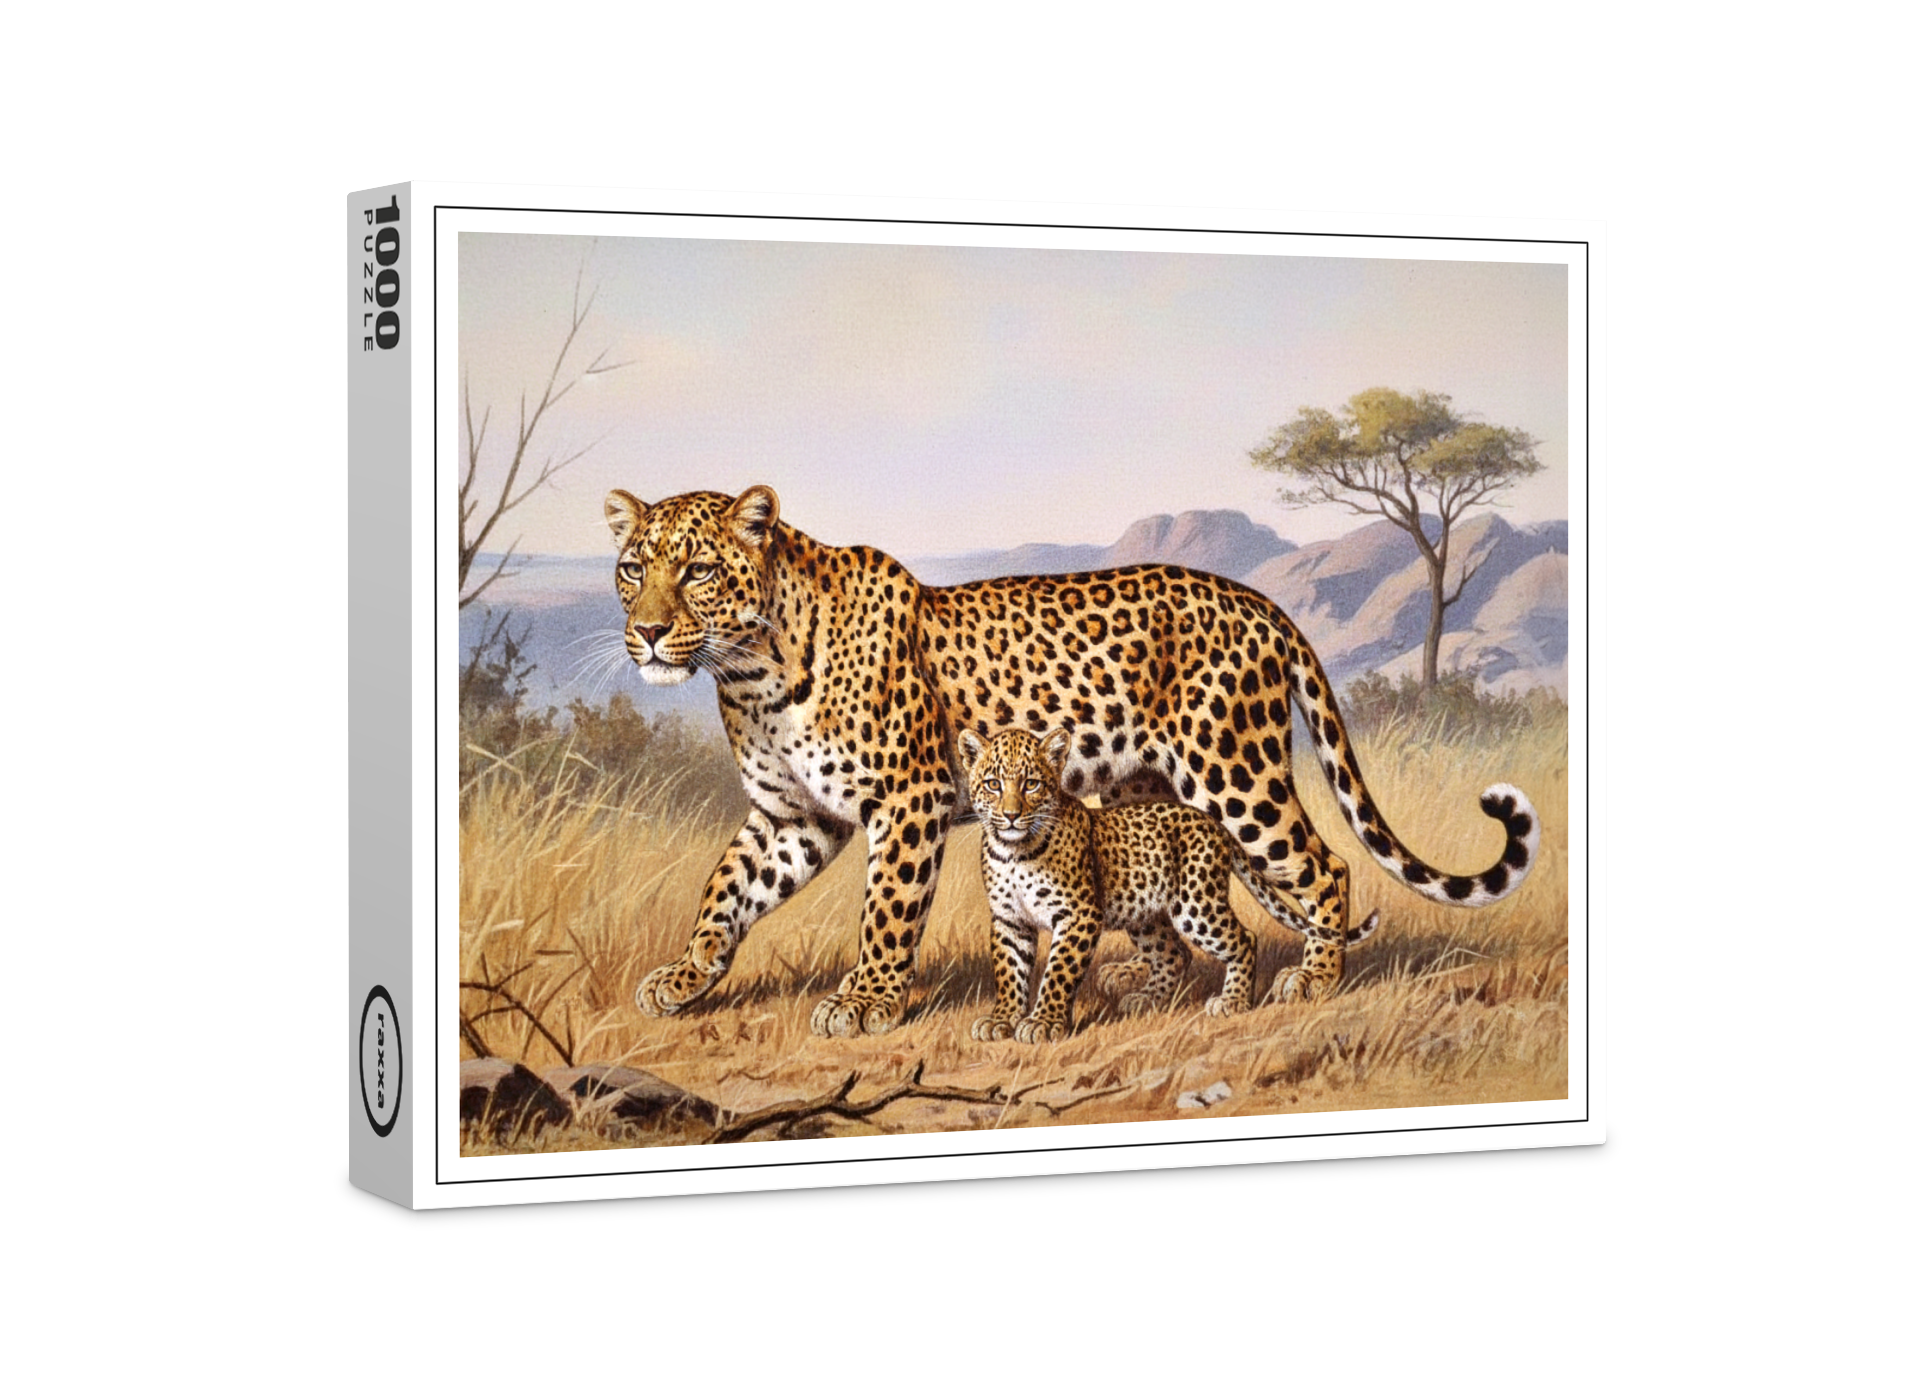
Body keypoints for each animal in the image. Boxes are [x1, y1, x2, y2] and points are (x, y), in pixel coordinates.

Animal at [960, 727, 1381, 1042]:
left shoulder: (1078, 915)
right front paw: (1002, 1019)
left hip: (1196, 906)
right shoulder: (1009, 920)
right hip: (1145, 911)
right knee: (1173, 953)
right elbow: (1009, 971)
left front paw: (1043, 1023)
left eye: (1031, 784)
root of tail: (1211, 822)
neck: (1015, 852)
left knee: (1243, 939)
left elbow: (1059, 971)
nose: (1010, 815)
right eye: (993, 784)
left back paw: (1232, 1002)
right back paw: (1148, 999)